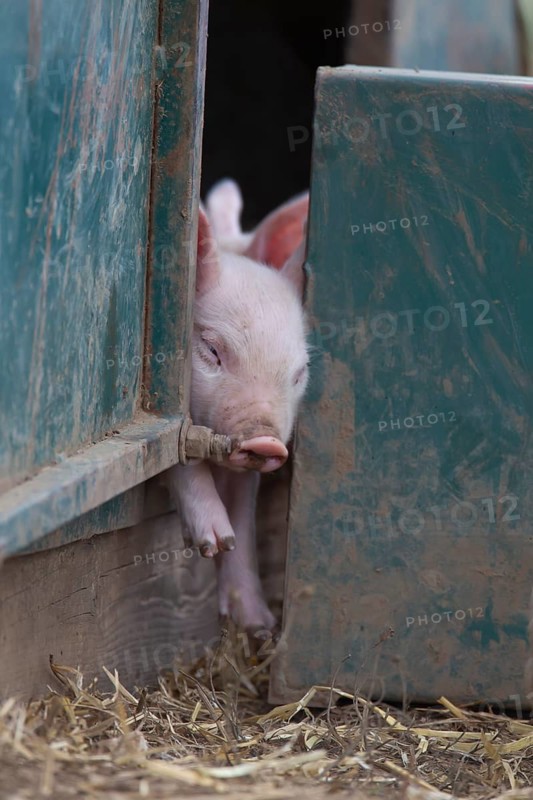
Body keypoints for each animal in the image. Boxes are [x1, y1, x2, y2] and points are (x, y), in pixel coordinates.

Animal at [165, 179, 309, 635]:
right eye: (212, 349)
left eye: (299, 371)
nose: (265, 441)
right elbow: (175, 455)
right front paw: (211, 542)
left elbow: (245, 519)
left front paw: (258, 627)